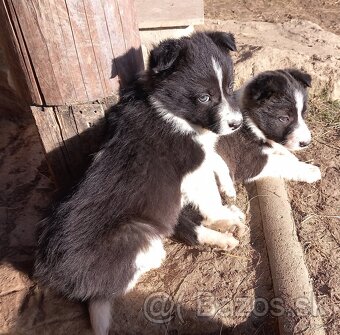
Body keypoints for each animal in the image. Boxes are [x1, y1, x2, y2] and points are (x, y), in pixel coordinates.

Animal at [33, 32, 242, 335]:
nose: (237, 124)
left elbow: (216, 159)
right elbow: (210, 198)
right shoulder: (191, 169)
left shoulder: (201, 150)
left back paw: (220, 239)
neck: (170, 111)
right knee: (111, 287)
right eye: (204, 97)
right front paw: (225, 214)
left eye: (230, 87)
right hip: (136, 231)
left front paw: (229, 188)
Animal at [175, 69, 322, 247]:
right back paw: (224, 235)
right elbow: (281, 162)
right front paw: (309, 170)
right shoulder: (251, 161)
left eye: (303, 114)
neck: (250, 122)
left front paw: (293, 157)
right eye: (284, 118)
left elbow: (281, 151)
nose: (306, 142)